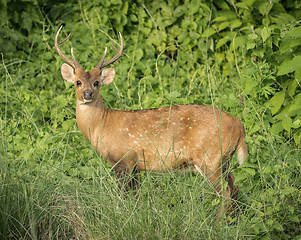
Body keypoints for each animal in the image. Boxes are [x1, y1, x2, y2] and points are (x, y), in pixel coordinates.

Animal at [55, 25, 247, 219]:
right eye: (78, 82)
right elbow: (136, 196)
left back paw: (219, 221)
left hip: (210, 157)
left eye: (96, 82)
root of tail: (240, 127)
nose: (87, 94)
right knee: (234, 185)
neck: (102, 125)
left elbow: (121, 196)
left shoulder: (123, 160)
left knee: (225, 191)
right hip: (223, 159)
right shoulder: (136, 166)